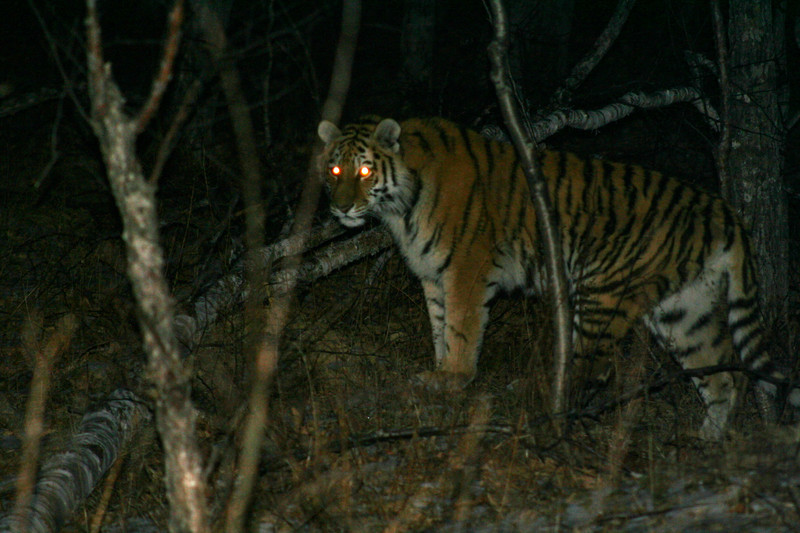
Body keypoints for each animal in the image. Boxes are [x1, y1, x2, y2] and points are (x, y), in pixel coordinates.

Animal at [317, 115, 786, 440]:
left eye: (364, 172)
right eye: (335, 171)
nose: (340, 208)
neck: (402, 205)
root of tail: (723, 210)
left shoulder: (466, 269)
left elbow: (461, 329)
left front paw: (454, 380)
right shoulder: (434, 277)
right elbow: (439, 327)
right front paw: (437, 374)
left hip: (602, 295)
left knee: (594, 368)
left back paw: (550, 415)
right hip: (685, 312)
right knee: (726, 376)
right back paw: (709, 440)